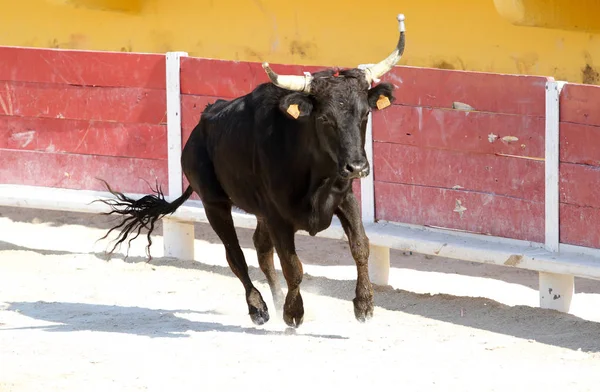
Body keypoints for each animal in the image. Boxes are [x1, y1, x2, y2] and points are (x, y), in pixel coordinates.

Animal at [98, 14, 406, 328]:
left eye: (365, 114)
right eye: (324, 119)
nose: (357, 167)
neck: (315, 172)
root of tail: (200, 126)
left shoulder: (344, 199)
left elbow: (360, 245)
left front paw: (364, 305)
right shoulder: (277, 216)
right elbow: (292, 265)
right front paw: (293, 313)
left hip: (256, 212)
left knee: (260, 249)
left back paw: (276, 300)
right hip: (215, 204)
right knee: (236, 255)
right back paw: (259, 308)